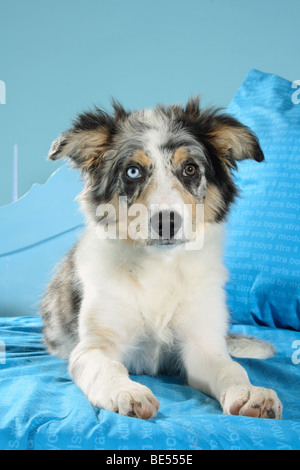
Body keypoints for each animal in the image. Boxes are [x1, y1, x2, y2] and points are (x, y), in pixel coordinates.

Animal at [41, 98, 282, 418]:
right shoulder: (93, 347)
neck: (160, 266)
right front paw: (125, 391)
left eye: (190, 168)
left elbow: (231, 369)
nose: (166, 222)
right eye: (133, 171)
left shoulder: (201, 344)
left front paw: (250, 391)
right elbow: (108, 367)